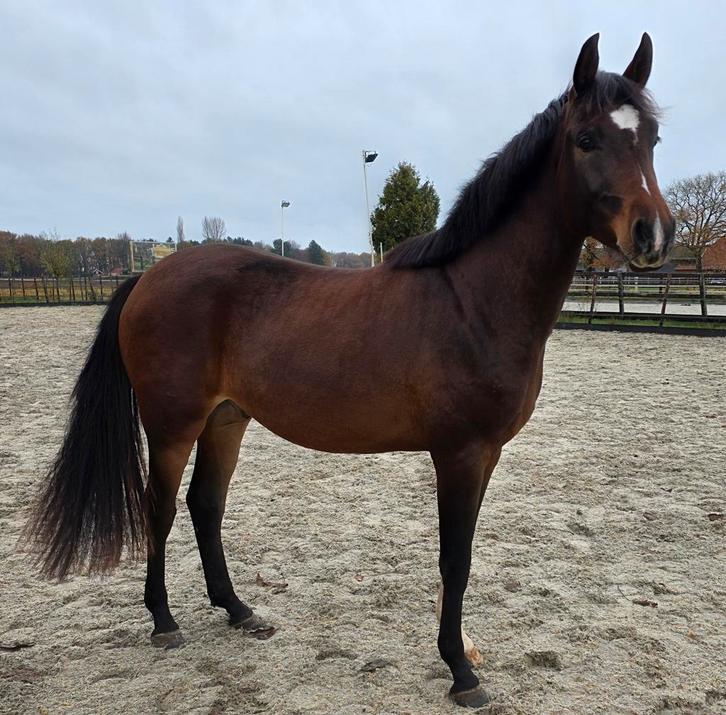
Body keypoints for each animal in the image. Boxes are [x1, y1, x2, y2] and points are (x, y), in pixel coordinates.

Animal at [26, 33, 674, 708]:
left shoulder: (487, 453)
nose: (652, 234)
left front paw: (462, 653)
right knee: (161, 507)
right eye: (587, 139)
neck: (473, 298)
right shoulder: (460, 452)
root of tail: (149, 275)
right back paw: (163, 621)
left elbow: (461, 555)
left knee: (206, 504)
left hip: (226, 419)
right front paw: (460, 671)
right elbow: (455, 559)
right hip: (173, 424)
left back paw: (238, 610)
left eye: (652, 138)